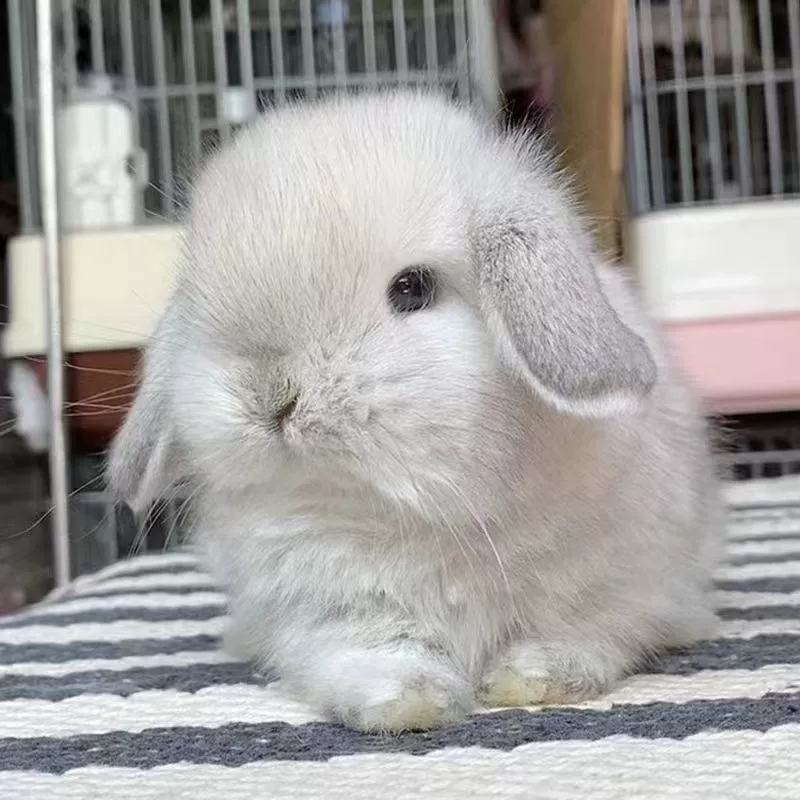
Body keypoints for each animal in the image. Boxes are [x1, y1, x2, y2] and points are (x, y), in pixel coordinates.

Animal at [108, 90, 722, 733]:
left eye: (412, 288)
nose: (271, 396)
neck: (428, 512)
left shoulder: (618, 586)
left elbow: (587, 635)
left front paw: (533, 681)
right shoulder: (333, 616)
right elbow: (378, 655)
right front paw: (411, 704)